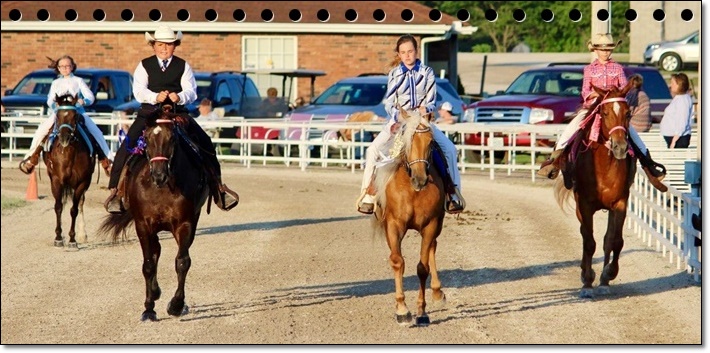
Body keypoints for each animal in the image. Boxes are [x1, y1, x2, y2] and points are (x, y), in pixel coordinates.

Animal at [44, 93, 96, 248]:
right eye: (58, 115)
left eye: (74, 116)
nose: (64, 137)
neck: (69, 155)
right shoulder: (56, 181)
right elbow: (58, 207)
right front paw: (58, 237)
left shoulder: (81, 183)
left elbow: (74, 209)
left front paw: (72, 239)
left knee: (80, 203)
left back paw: (82, 234)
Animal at [100, 110, 211, 322]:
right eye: (147, 139)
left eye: (172, 139)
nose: (159, 175)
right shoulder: (143, 225)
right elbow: (148, 265)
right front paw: (149, 309)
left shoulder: (185, 224)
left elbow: (182, 262)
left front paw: (176, 305)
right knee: (155, 251)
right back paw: (154, 292)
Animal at [370, 107, 448, 324]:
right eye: (407, 139)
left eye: (430, 142)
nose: (420, 179)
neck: (413, 191)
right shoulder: (393, 225)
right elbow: (397, 261)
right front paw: (402, 310)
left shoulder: (431, 224)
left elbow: (422, 267)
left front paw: (421, 312)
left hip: (437, 225)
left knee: (432, 249)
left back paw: (437, 292)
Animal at [552, 82, 636, 296]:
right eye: (604, 113)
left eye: (628, 113)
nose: (620, 147)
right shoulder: (585, 204)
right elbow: (589, 242)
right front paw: (587, 281)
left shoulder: (620, 203)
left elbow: (615, 241)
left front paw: (608, 274)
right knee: (584, 234)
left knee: (608, 239)